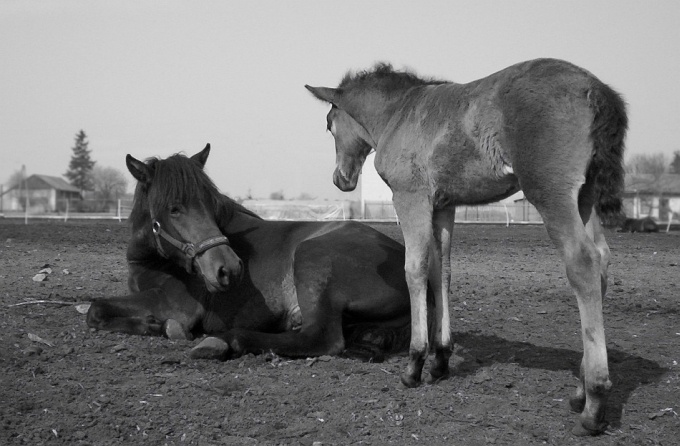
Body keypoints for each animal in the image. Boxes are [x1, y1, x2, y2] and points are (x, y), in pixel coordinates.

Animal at [86, 146, 424, 362]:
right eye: (174, 209)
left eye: (211, 202)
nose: (228, 268)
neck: (155, 260)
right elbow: (97, 310)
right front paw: (152, 325)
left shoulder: (175, 304)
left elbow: (95, 307)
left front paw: (164, 328)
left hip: (312, 257)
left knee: (321, 338)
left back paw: (222, 341)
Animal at [308, 56, 628, 436]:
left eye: (329, 125)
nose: (340, 179)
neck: (398, 113)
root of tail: (595, 87)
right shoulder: (444, 206)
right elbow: (441, 272)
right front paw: (441, 358)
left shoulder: (410, 197)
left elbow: (415, 270)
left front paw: (415, 363)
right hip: (584, 196)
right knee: (603, 259)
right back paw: (580, 390)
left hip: (551, 193)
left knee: (583, 262)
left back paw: (594, 402)